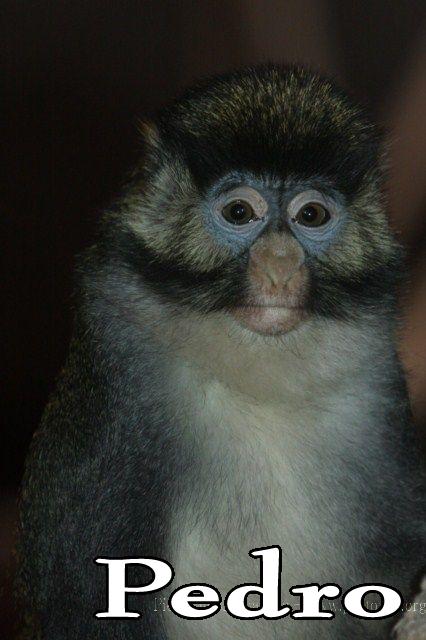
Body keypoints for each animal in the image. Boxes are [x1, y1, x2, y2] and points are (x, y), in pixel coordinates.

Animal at [17, 64, 426, 640]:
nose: (280, 265)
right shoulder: (116, 396)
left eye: (311, 214)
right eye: (238, 211)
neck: (260, 384)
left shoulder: (377, 392)